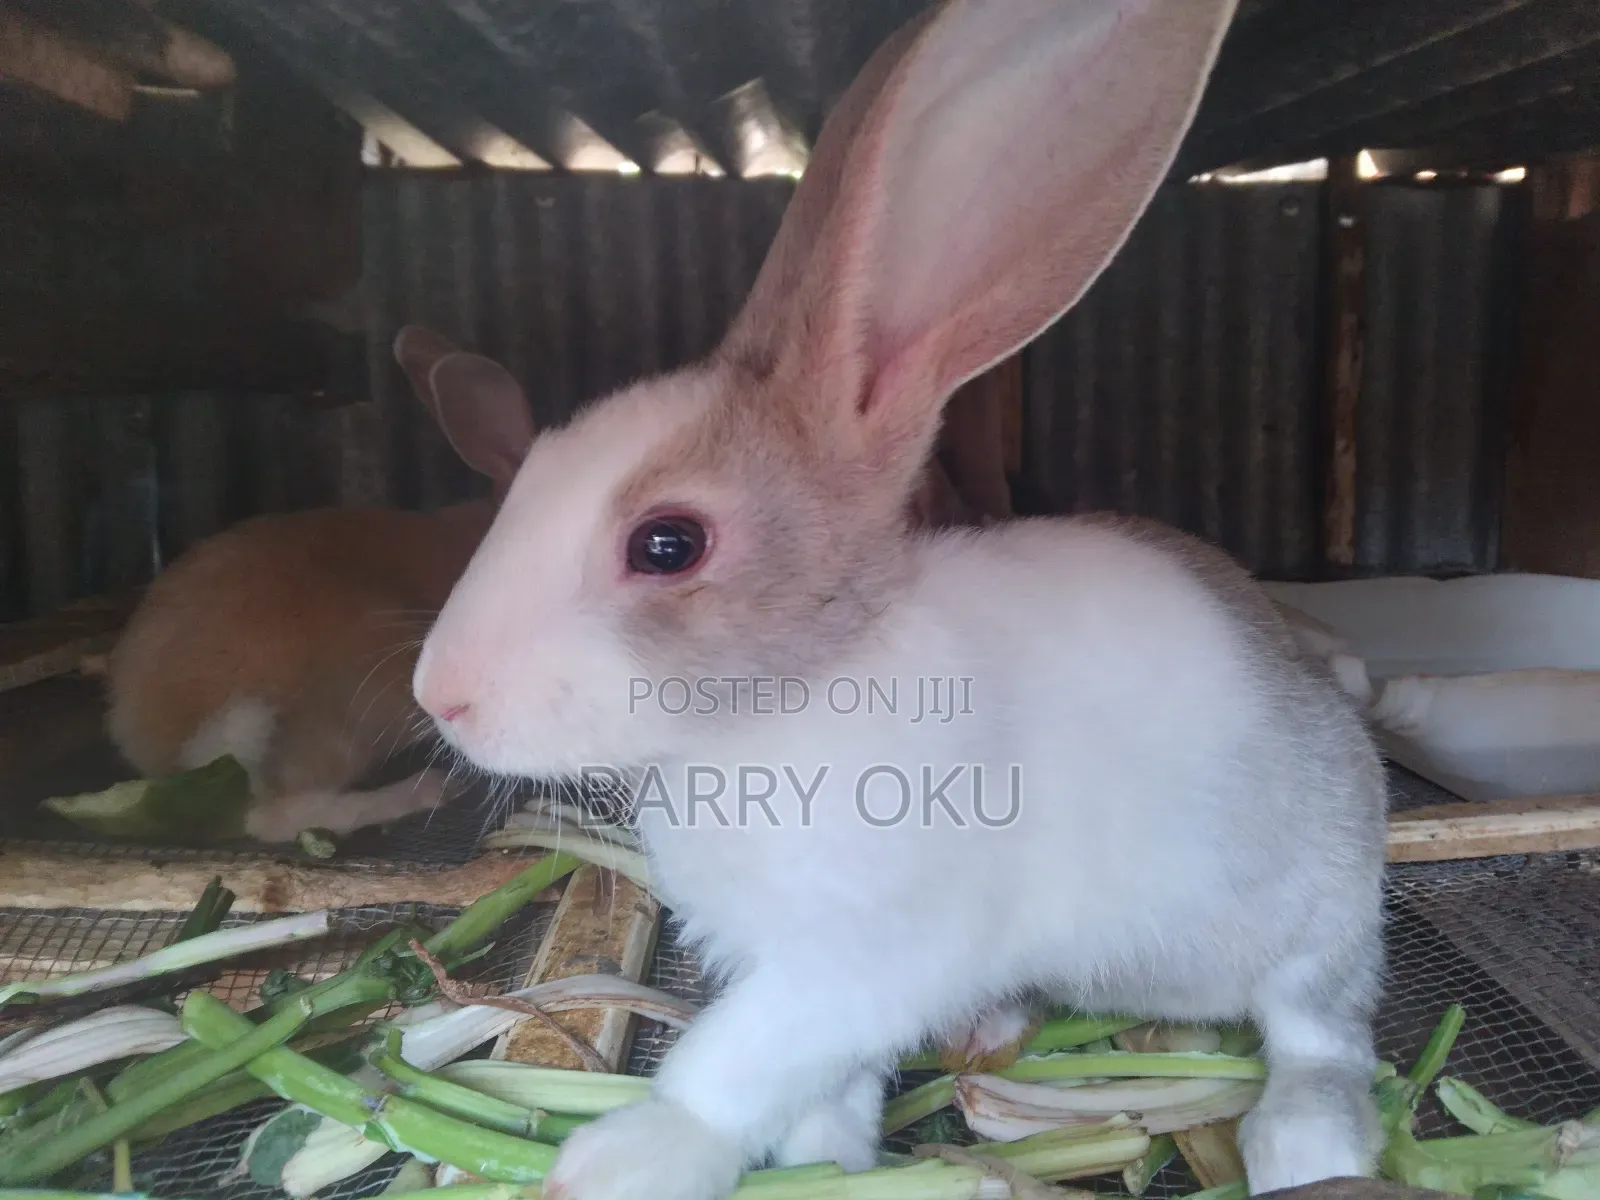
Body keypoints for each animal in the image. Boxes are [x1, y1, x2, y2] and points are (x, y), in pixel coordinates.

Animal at [410, 1, 1387, 1198]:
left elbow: (734, 1062)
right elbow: (821, 1085)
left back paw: (1305, 1145)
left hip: (1320, 916)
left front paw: (622, 1159)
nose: (441, 696)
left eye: (667, 544)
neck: (795, 698)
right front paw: (824, 1156)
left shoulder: (862, 959)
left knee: (1320, 1032)